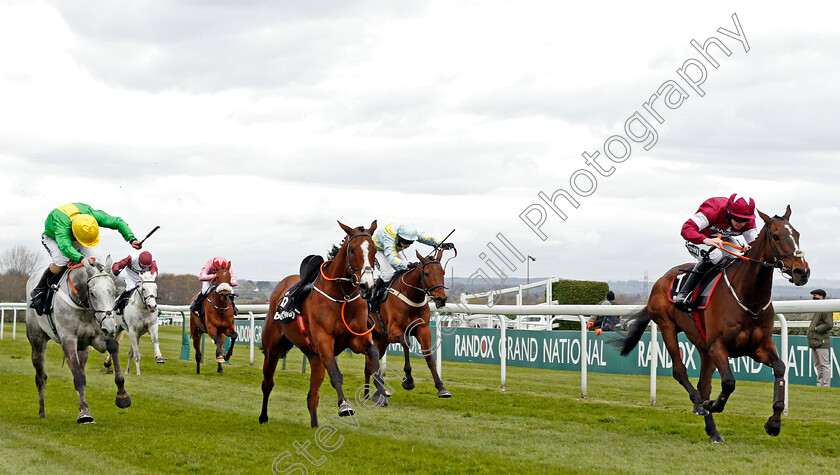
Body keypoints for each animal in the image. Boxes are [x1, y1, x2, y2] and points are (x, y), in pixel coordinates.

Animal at [24, 256, 131, 424]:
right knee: (41, 376)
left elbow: (113, 347)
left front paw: (122, 396)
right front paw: (85, 414)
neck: (82, 303)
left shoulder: (99, 335)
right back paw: (41, 412)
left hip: (83, 348)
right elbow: (78, 378)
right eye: (92, 293)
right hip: (36, 340)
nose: (111, 326)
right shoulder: (68, 339)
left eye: (113, 292)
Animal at [260, 221, 390, 430]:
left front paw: (381, 390)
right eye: (352, 250)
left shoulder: (357, 338)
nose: (367, 286)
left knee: (312, 397)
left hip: (315, 358)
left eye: (374, 250)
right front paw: (344, 406)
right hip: (273, 349)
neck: (341, 297)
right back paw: (263, 417)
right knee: (267, 383)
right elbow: (336, 375)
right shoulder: (324, 341)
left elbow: (373, 353)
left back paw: (314, 425)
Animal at [362, 249, 452, 402]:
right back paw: (369, 393)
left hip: (381, 339)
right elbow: (406, 342)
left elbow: (429, 356)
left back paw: (375, 392)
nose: (441, 298)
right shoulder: (394, 332)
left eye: (443, 272)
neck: (411, 296)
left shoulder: (423, 330)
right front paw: (408, 380)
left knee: (371, 362)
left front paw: (441, 388)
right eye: (426, 273)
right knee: (368, 363)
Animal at [616, 208, 808, 442]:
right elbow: (729, 382)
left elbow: (780, 368)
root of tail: (661, 280)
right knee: (680, 372)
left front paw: (774, 423)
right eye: (776, 236)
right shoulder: (718, 346)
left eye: (797, 234)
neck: (748, 297)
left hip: (702, 345)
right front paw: (712, 405)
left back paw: (713, 431)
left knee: (704, 384)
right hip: (666, 326)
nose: (802, 272)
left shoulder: (758, 346)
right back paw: (700, 405)